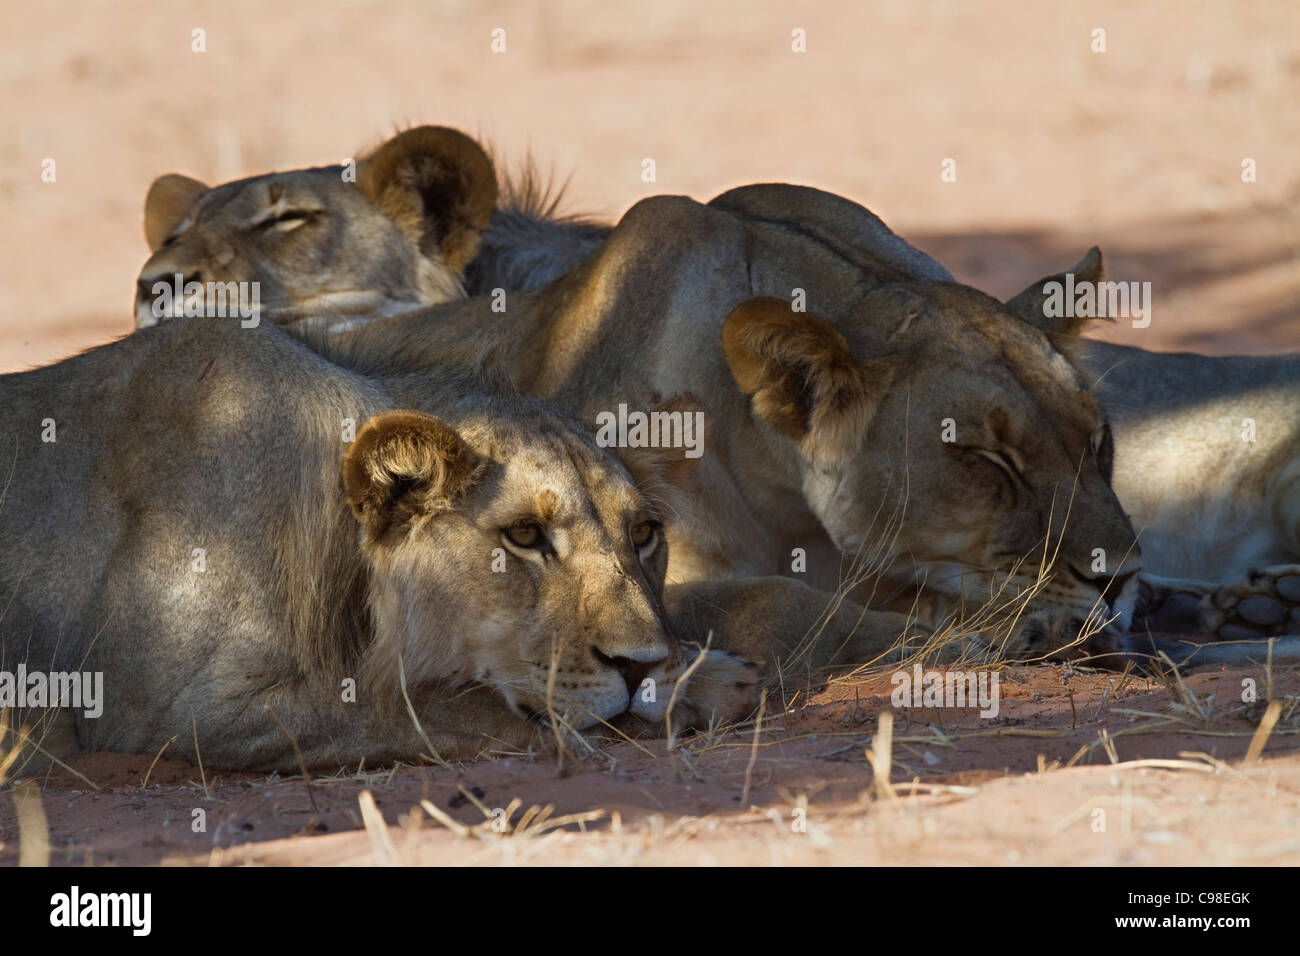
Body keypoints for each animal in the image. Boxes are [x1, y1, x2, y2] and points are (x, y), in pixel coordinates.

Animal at [0, 317, 795, 775]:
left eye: (644, 535)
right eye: (525, 536)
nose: (640, 665)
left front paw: (702, 674)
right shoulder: (169, 710)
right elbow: (432, 707)